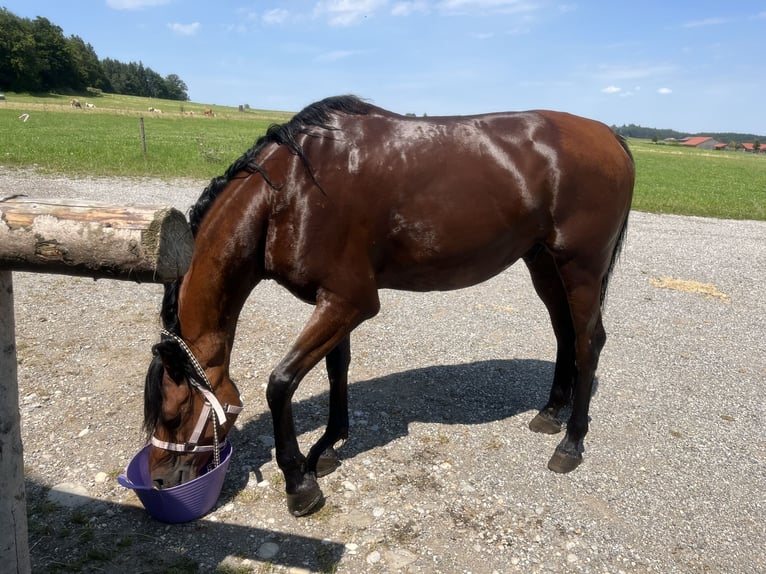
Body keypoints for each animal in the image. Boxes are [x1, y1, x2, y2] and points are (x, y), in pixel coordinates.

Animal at [142, 93, 636, 516]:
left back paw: (570, 443)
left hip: (581, 267)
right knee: (564, 333)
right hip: (543, 263)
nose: (161, 481)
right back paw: (550, 413)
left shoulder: (350, 301)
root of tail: (610, 136)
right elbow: (336, 368)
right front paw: (327, 448)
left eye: (173, 414)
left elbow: (281, 383)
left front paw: (299, 482)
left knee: (589, 340)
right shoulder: (333, 300)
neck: (290, 191)